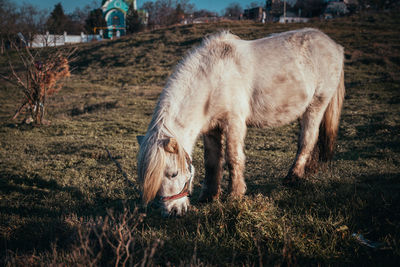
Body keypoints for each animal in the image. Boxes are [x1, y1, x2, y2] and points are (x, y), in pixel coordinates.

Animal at [137, 28, 344, 217]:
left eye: (173, 174)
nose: (172, 211)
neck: (214, 77)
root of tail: (335, 46)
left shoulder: (233, 123)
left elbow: (233, 158)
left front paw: (235, 194)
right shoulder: (211, 129)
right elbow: (212, 161)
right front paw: (209, 196)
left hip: (316, 105)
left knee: (307, 140)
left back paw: (293, 177)